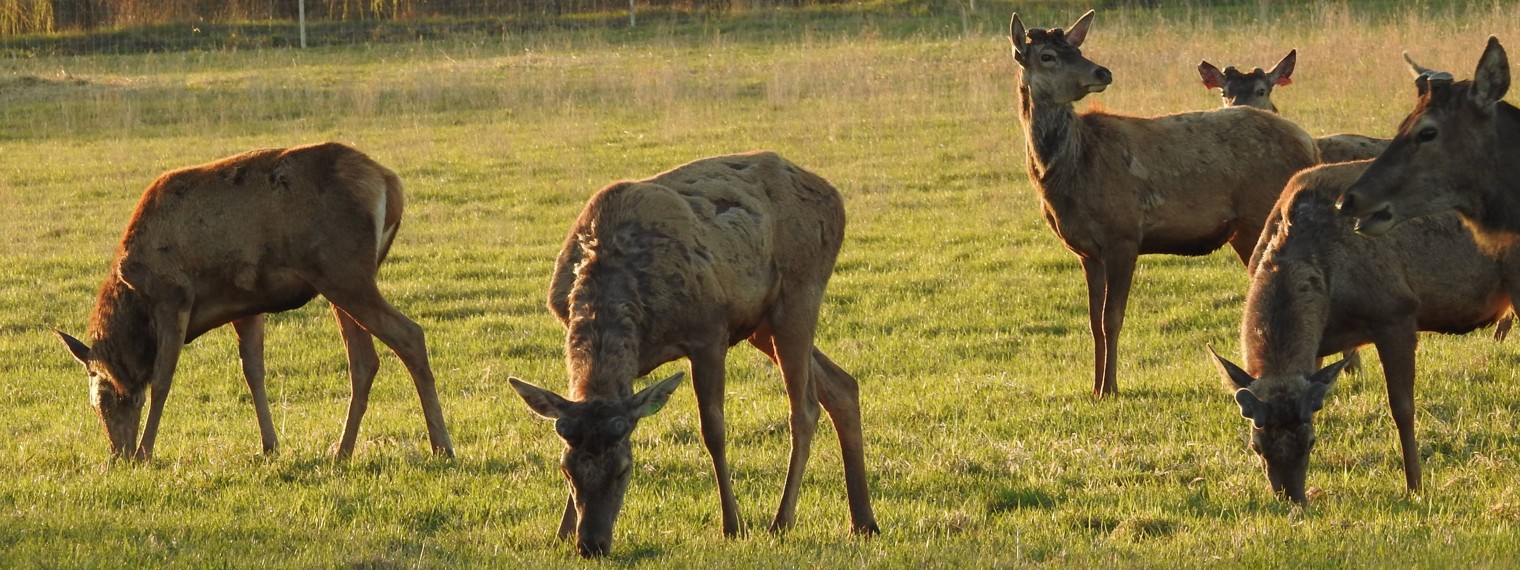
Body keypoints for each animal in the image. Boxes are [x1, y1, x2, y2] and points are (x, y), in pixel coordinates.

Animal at [55, 142, 456, 459]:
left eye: (105, 397)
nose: (117, 452)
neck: (134, 300)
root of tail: (389, 183)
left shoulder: (173, 298)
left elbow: (162, 380)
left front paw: (145, 452)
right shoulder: (244, 305)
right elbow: (253, 371)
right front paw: (270, 444)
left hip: (343, 272)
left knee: (409, 335)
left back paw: (442, 445)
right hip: (338, 280)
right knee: (364, 360)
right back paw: (342, 450)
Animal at [507, 150, 881, 559]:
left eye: (624, 469)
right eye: (566, 471)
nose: (591, 545)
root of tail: (833, 196)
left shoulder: (709, 331)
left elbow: (713, 430)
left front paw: (733, 526)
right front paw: (560, 533)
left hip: (800, 290)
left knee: (805, 407)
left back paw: (781, 522)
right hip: (762, 323)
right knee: (842, 385)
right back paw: (863, 523)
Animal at [1015, 12, 1325, 398]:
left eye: (1077, 49)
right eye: (1047, 56)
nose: (1102, 72)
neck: (1066, 172)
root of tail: (1311, 145)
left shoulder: (1123, 234)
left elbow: (1111, 318)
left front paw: (1111, 388)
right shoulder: (1086, 251)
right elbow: (1092, 322)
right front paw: (1096, 388)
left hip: (1264, 215)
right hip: (1245, 230)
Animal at [1203, 159, 1513, 504]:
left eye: (1310, 442)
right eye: (1256, 446)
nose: (1293, 499)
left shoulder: (1396, 310)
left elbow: (1402, 407)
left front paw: (1415, 487)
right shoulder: (1320, 345)